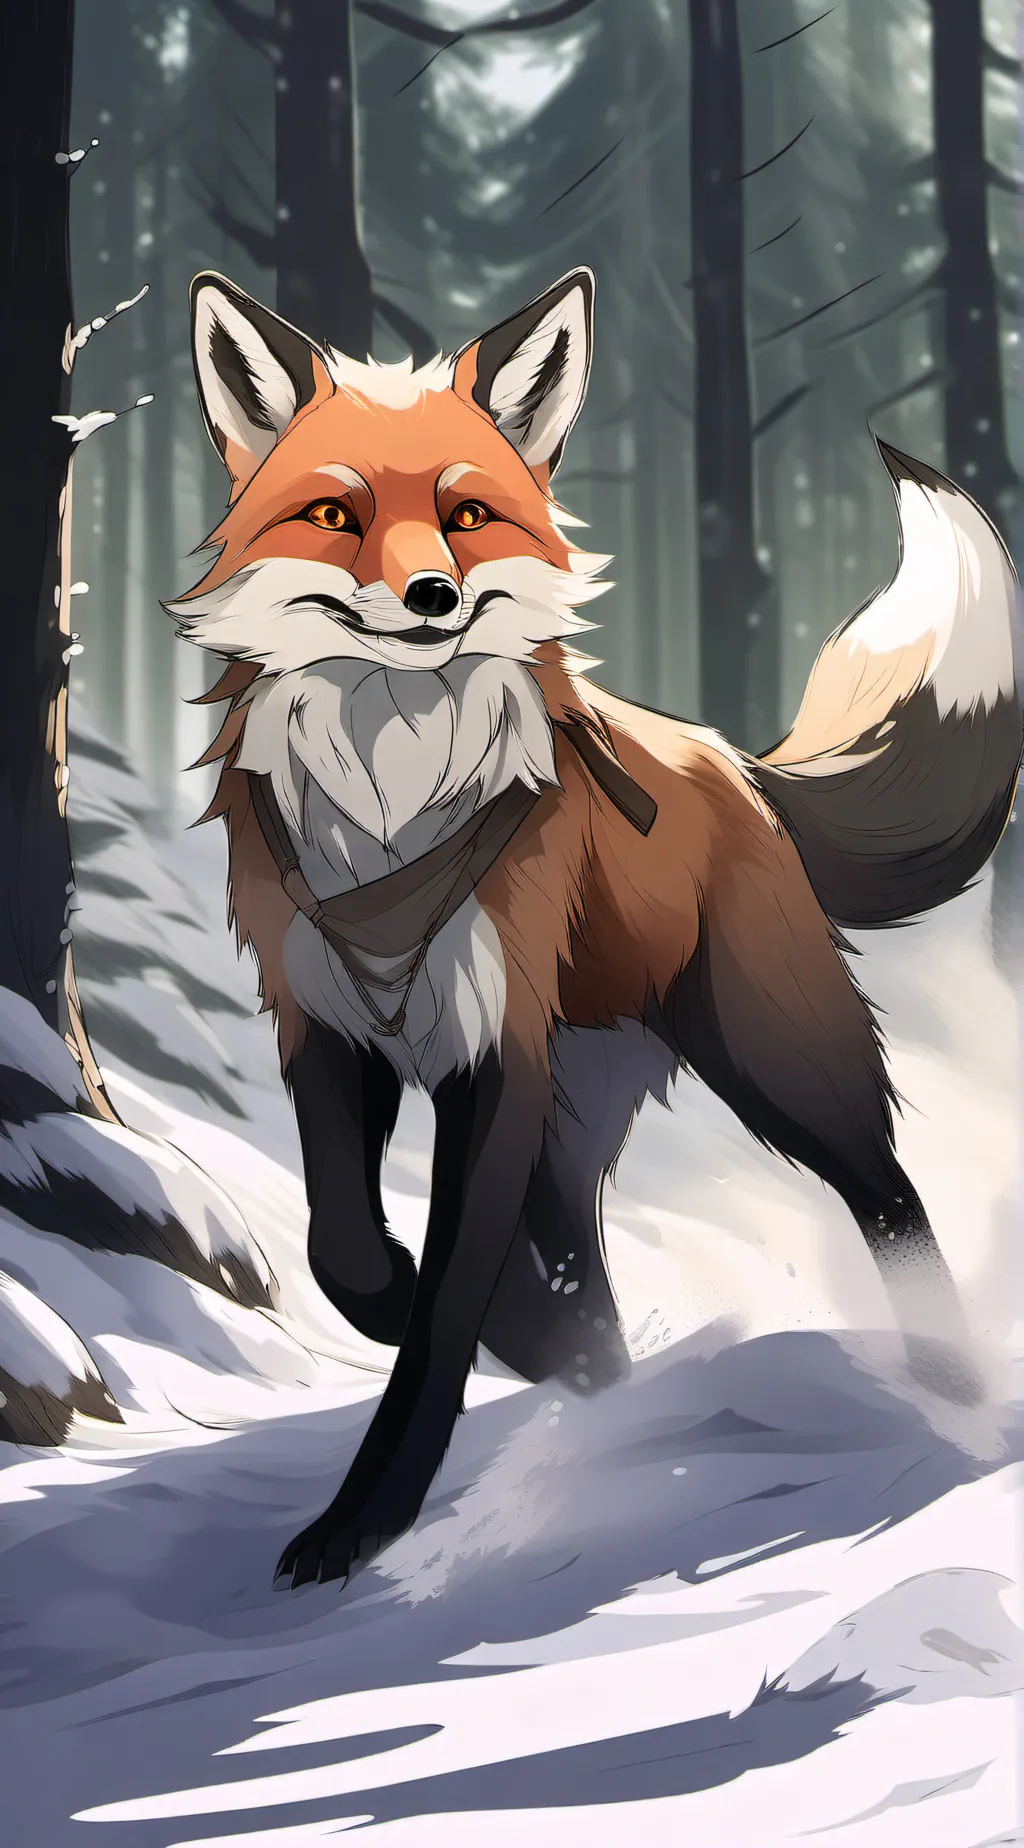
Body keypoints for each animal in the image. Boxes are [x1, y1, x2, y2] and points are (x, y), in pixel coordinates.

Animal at [172, 265, 1022, 1589]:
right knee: (596, 1283)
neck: (390, 809)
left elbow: (442, 1308)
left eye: (467, 516)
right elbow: (346, 1253)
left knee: (889, 1193)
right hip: (576, 1133)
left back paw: (949, 1392)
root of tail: (736, 763)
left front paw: (365, 1519)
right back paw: (601, 1384)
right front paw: (503, 1339)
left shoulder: (493, 1051)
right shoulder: (325, 1026)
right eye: (333, 514)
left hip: (778, 1061)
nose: (430, 597)